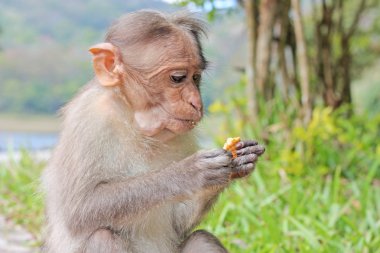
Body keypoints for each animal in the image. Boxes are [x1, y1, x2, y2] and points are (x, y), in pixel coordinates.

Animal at [41, 9, 266, 253]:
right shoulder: (88, 118)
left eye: (196, 78)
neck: (135, 121)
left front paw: (238, 163)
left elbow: (179, 222)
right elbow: (80, 209)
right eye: (177, 78)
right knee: (102, 236)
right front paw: (188, 173)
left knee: (202, 238)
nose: (196, 103)